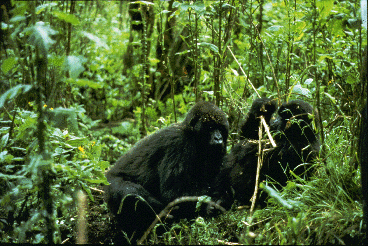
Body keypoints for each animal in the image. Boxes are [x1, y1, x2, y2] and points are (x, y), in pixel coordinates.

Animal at [103, 101, 229, 242]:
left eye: (221, 128)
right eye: (210, 127)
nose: (218, 138)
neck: (191, 134)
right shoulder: (178, 143)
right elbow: (172, 192)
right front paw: (208, 204)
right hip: (111, 184)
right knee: (130, 192)